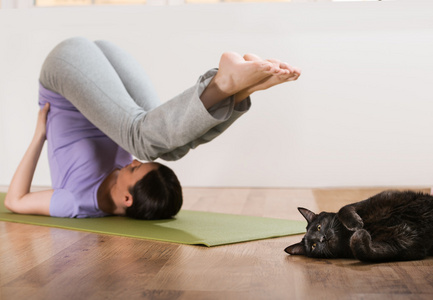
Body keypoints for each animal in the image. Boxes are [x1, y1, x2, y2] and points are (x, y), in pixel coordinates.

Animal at [286, 191, 432, 262]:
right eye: (313, 246)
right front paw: (360, 234)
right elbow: (363, 252)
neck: (345, 235)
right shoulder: (403, 244)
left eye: (318, 227)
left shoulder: (374, 200)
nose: (322, 238)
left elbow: (344, 208)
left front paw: (356, 224)